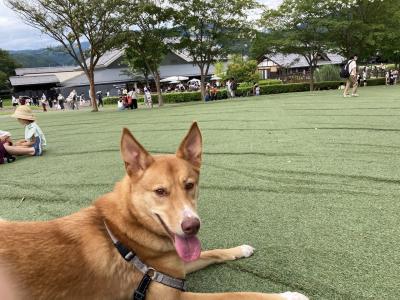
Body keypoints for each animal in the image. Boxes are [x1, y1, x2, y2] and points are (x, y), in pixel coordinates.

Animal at [0, 122, 310, 300]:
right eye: (160, 192)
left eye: (189, 185)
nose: (192, 226)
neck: (124, 234)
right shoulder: (171, 296)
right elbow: (237, 295)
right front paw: (290, 295)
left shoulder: (172, 270)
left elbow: (212, 253)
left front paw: (241, 250)